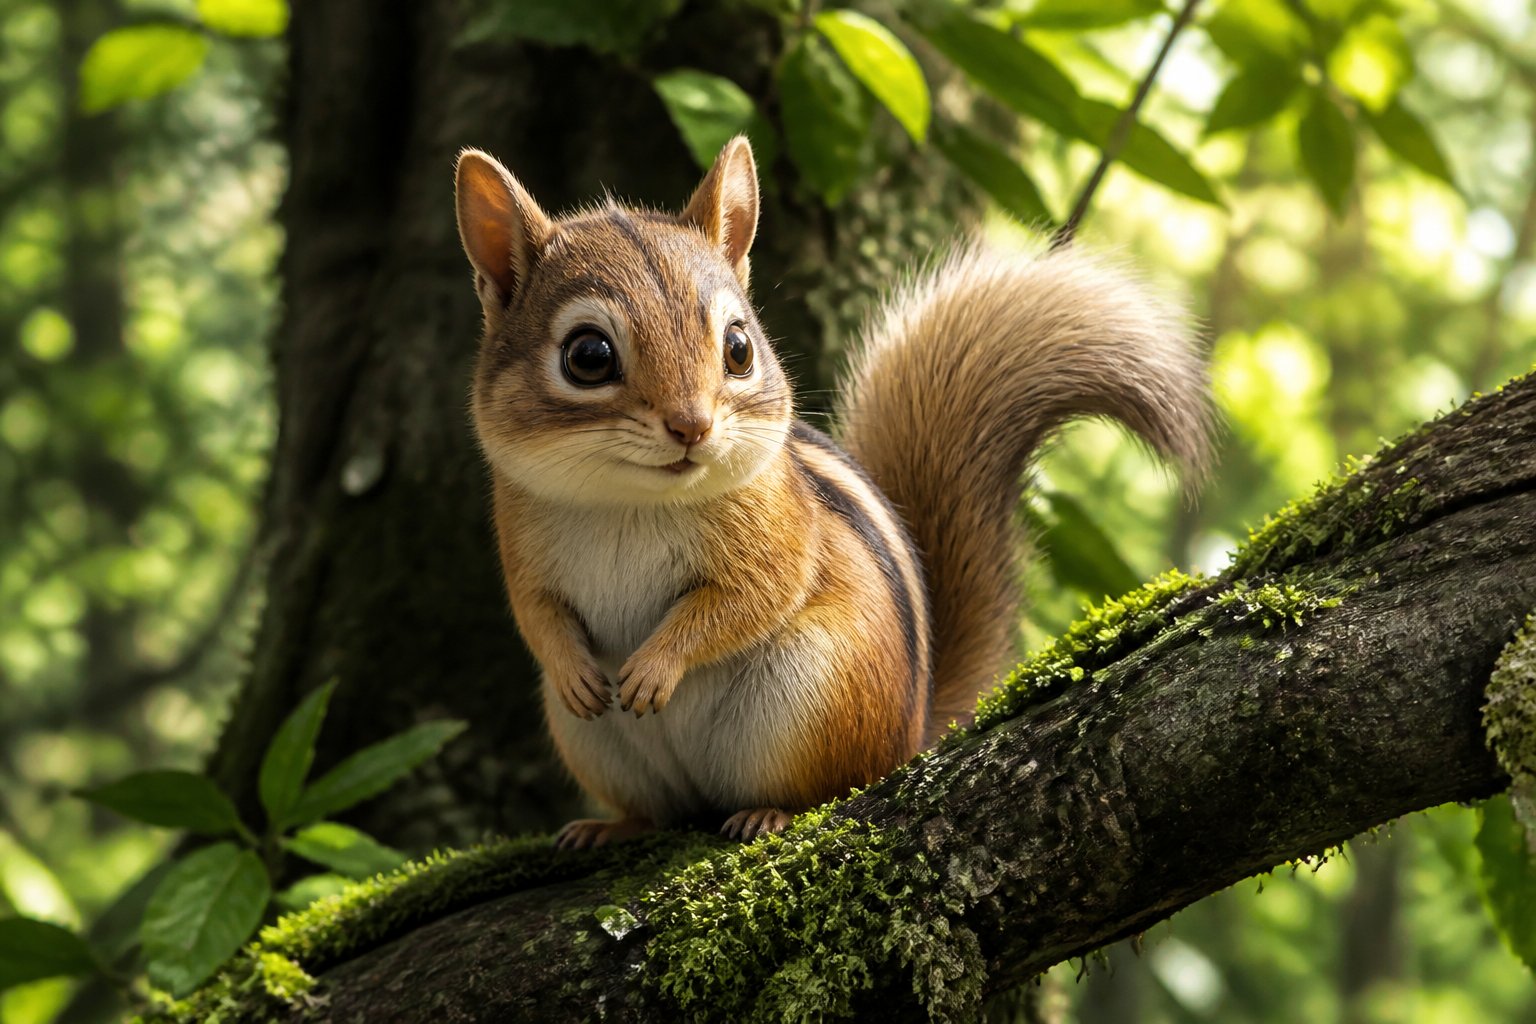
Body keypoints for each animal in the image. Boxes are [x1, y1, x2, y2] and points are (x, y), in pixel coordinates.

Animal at [454, 136, 1212, 850]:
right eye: (588, 356)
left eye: (738, 348)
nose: (692, 426)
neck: (629, 503)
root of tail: (914, 732)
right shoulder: (521, 551)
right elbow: (537, 616)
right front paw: (578, 671)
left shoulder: (779, 540)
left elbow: (742, 603)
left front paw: (652, 669)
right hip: (596, 743)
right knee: (661, 810)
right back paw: (614, 826)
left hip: (813, 698)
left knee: (825, 787)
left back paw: (768, 812)